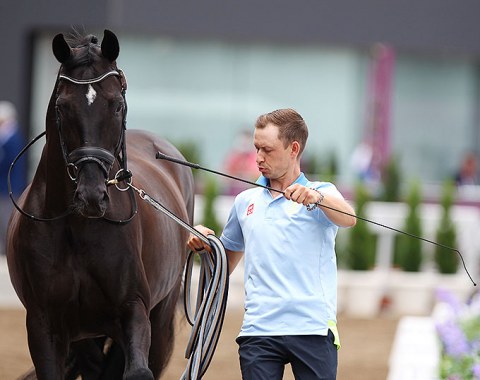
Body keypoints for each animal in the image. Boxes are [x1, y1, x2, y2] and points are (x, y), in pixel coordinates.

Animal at [5, 29, 193, 380]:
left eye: (117, 104)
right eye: (62, 107)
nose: (91, 196)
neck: (77, 229)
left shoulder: (133, 311)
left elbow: (138, 371)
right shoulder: (43, 325)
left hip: (160, 320)